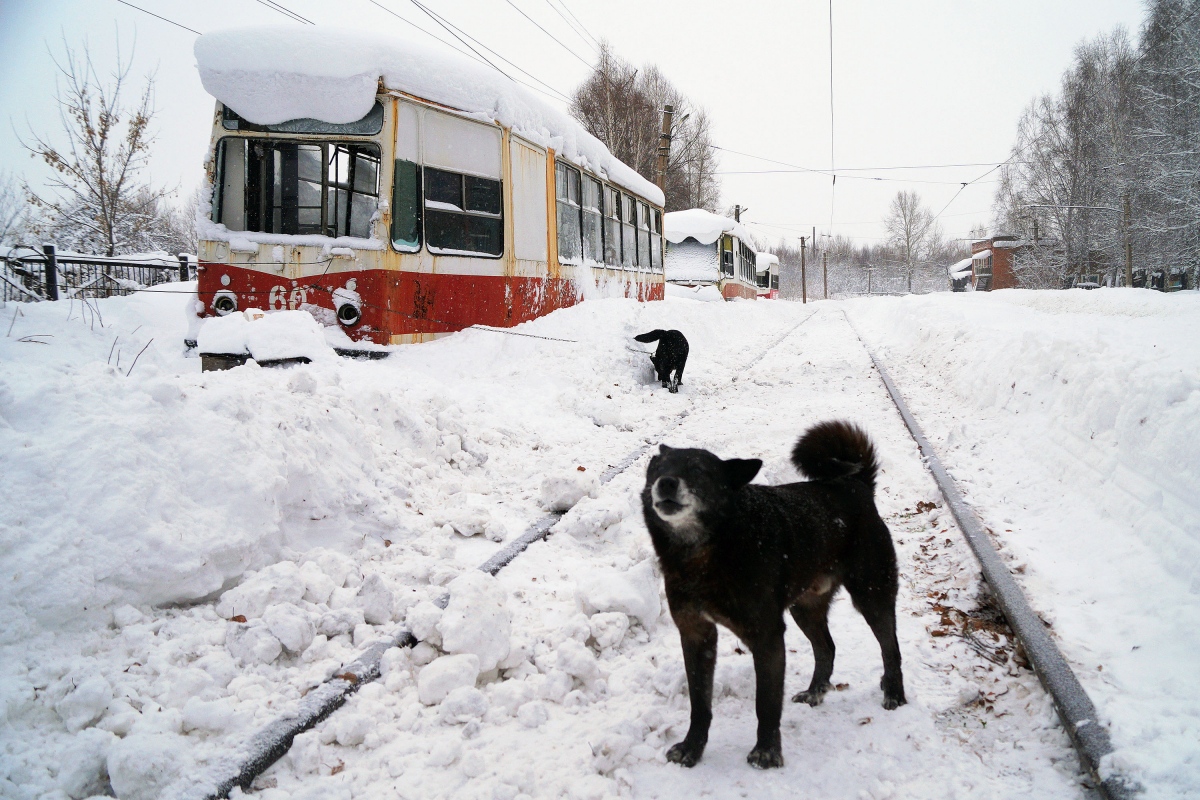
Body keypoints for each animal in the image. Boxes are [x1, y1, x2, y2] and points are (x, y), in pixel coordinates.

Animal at [643, 422, 902, 767]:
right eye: (657, 468)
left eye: (697, 470)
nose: (666, 483)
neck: (710, 550)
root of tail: (855, 484)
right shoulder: (696, 634)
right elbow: (699, 704)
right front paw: (692, 748)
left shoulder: (766, 636)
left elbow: (765, 703)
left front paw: (766, 751)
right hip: (805, 609)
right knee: (827, 648)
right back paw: (815, 692)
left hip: (871, 595)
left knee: (890, 647)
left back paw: (894, 693)